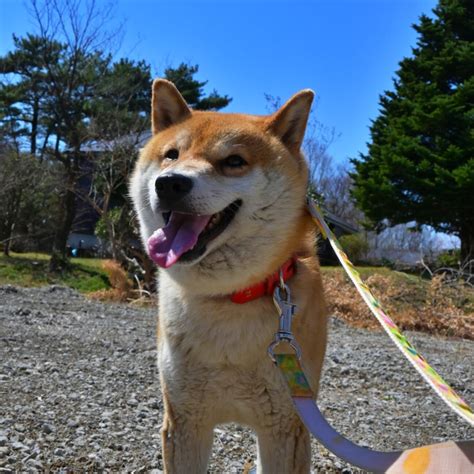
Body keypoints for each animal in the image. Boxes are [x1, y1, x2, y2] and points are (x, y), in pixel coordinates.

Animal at [131, 79, 330, 472]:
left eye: (234, 162)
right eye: (172, 154)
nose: (169, 183)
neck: (228, 298)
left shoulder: (285, 424)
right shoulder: (184, 420)